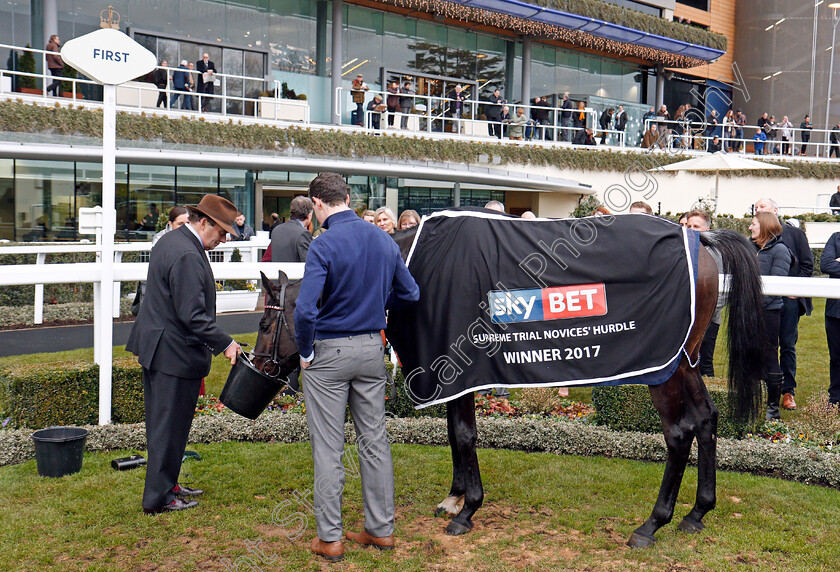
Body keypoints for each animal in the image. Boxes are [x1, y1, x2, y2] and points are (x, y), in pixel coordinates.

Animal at [253, 217, 764, 548]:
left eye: (264, 323)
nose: (258, 367)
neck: (418, 266)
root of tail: (699, 235)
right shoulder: (455, 378)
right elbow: (454, 433)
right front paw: (455, 497)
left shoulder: (457, 368)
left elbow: (463, 434)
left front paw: (468, 511)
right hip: (686, 361)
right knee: (706, 419)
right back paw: (697, 513)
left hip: (662, 367)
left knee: (678, 433)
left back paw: (651, 525)